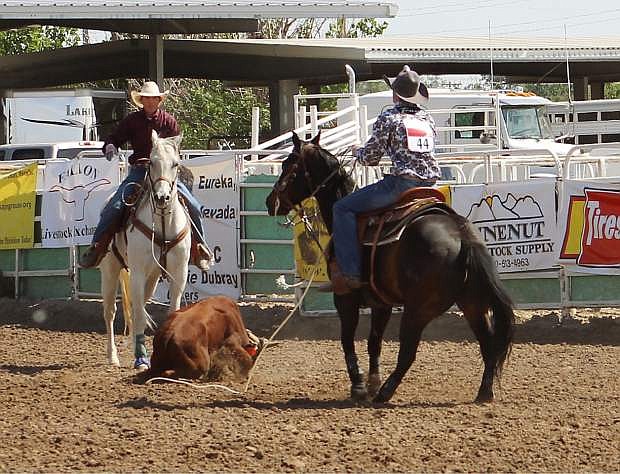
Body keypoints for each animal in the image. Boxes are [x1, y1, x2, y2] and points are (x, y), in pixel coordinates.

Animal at [98, 131, 202, 370]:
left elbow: (170, 311)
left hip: (153, 276)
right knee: (110, 311)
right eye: (151, 162)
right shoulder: (137, 272)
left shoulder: (179, 273)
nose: (162, 197)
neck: (163, 223)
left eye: (175, 164)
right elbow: (136, 314)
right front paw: (141, 359)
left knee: (140, 304)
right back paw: (112, 356)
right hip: (110, 269)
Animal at [266, 132, 512, 404]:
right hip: (473, 304)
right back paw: (484, 392)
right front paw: (372, 381)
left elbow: (347, 340)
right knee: (488, 344)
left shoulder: (345, 297)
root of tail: (461, 233)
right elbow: (374, 342)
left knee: (408, 352)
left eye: (289, 166)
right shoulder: (381, 302)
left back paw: (386, 393)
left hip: (419, 310)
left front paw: (359, 386)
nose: (270, 202)